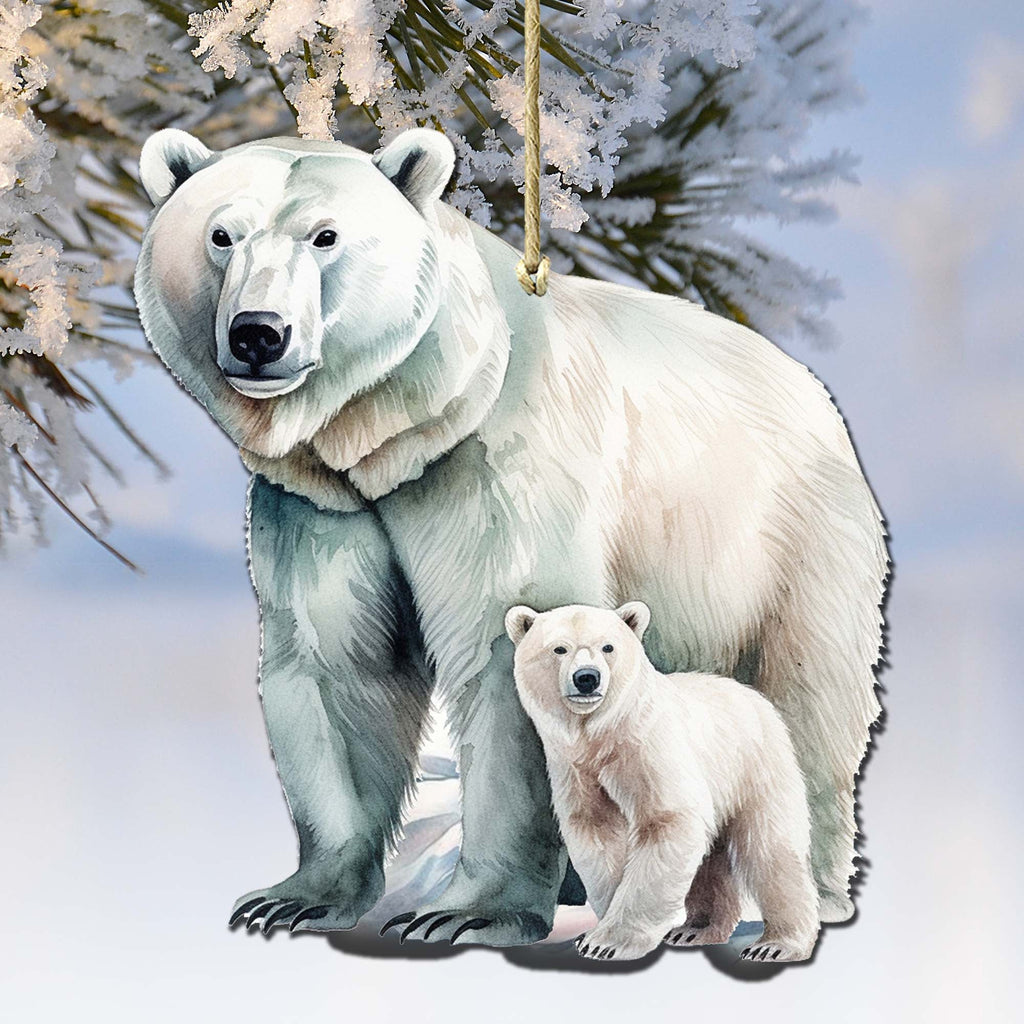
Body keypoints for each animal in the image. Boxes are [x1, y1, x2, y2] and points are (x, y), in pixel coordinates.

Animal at [505, 601, 821, 962]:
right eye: (559, 648)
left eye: (608, 647)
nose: (586, 678)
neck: (601, 734)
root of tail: (752, 695)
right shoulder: (572, 766)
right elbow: (597, 832)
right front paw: (597, 931)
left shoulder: (649, 749)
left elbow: (668, 822)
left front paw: (607, 942)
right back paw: (695, 929)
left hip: (756, 764)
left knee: (771, 848)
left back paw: (777, 943)